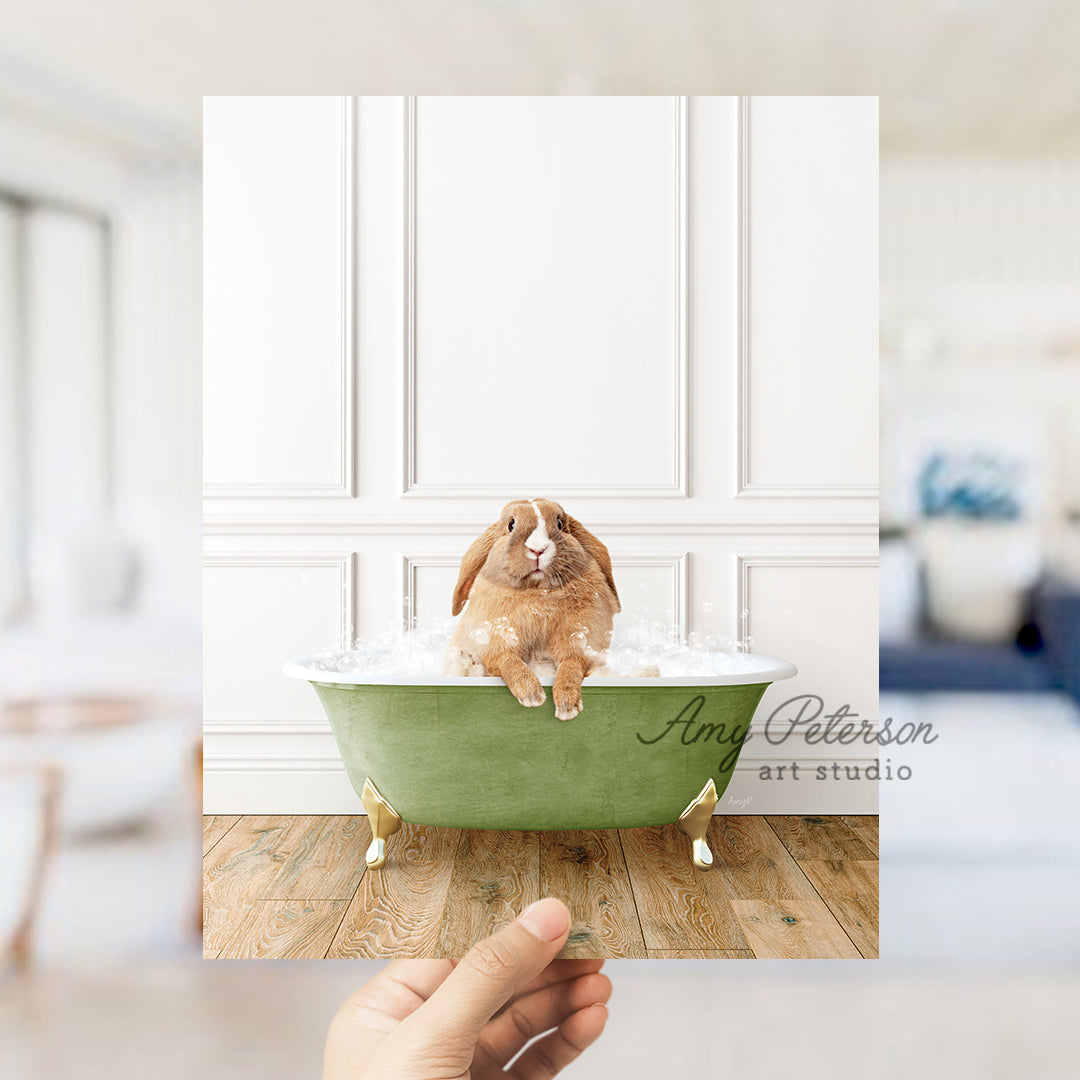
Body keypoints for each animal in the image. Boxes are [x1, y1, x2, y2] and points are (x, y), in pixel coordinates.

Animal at [442, 498, 622, 721]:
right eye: (511, 525)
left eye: (559, 523)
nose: (538, 549)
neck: (537, 591)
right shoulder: (495, 644)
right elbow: (509, 661)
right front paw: (532, 695)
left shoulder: (581, 645)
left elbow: (571, 666)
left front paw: (567, 706)